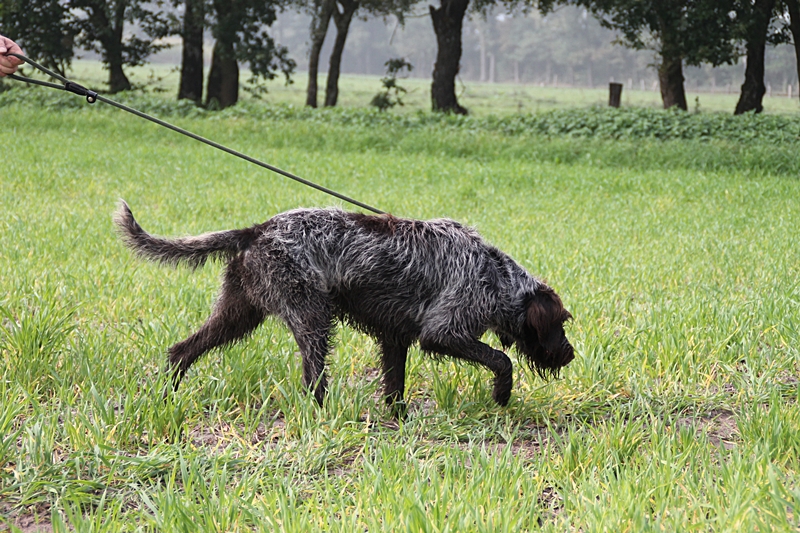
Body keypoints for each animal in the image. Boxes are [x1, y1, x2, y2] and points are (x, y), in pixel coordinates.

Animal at [114, 202, 576, 414]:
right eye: (561, 324)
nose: (570, 354)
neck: (494, 274)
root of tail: (258, 230)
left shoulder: (395, 338)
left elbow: (395, 384)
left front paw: (398, 418)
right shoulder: (443, 333)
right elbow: (501, 360)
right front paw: (501, 394)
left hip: (238, 314)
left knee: (183, 350)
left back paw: (168, 394)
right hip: (313, 318)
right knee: (312, 379)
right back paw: (321, 412)